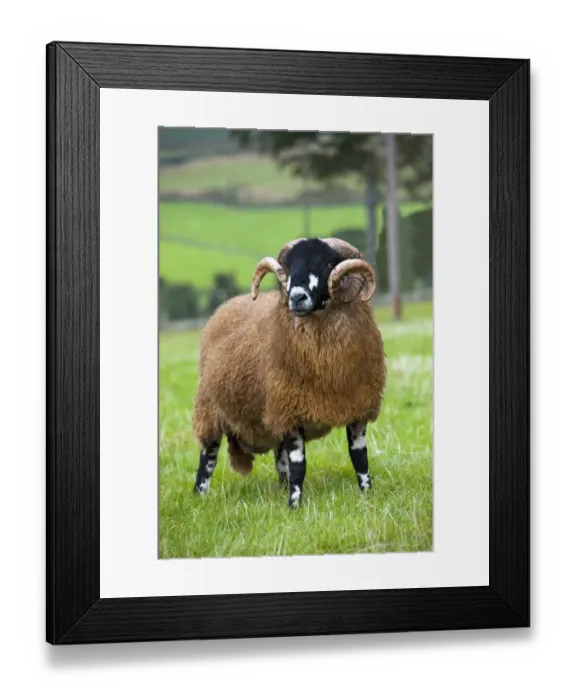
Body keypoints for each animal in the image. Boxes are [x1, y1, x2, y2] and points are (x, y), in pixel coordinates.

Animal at [192, 237, 387, 508]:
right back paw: (199, 495)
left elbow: (360, 458)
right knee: (207, 456)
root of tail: (225, 306)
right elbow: (299, 465)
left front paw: (367, 495)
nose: (296, 297)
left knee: (279, 458)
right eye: (290, 265)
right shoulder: (292, 412)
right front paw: (294, 506)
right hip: (210, 408)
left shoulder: (358, 409)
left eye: (328, 263)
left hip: (272, 414)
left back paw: (281, 487)